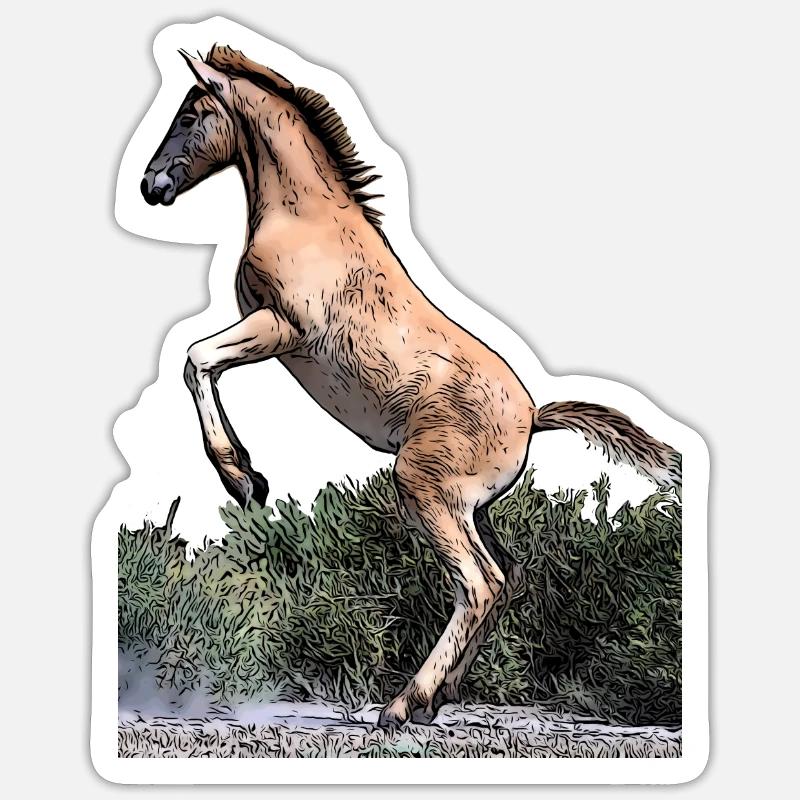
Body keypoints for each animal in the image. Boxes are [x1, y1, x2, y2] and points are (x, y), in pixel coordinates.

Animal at [140, 45, 681, 728]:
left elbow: (195, 360)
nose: (151, 186)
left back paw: (405, 703)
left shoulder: (278, 328)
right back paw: (436, 699)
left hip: (424, 488)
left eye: (189, 113)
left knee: (480, 583)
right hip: (472, 507)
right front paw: (249, 479)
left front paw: (244, 480)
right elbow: (196, 361)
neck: (305, 220)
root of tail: (533, 415)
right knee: (506, 577)